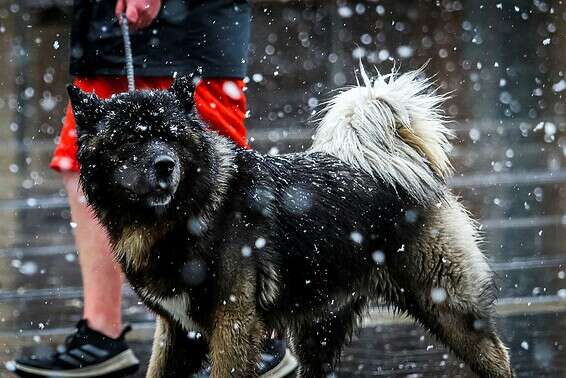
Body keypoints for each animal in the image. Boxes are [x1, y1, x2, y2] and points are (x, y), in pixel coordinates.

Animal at [70, 69, 516, 376]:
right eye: (131, 139)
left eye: (173, 137)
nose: (165, 165)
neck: (186, 215)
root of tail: (397, 166)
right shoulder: (178, 332)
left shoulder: (233, 325)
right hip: (319, 328)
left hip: (447, 305)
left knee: (497, 354)